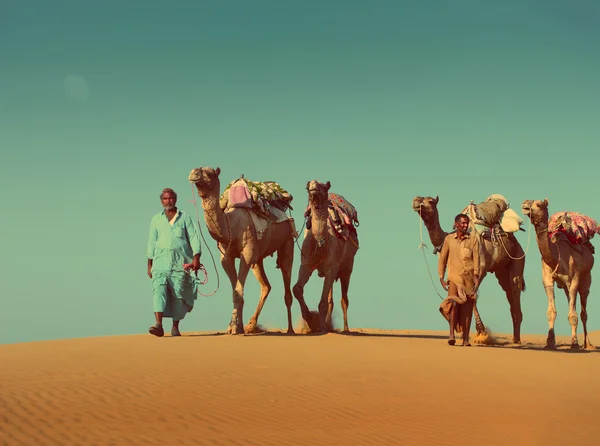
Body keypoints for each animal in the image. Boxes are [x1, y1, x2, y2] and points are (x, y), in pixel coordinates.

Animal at [189, 167, 296, 334]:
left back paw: (290, 330)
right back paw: (251, 325)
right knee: (266, 286)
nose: (194, 173)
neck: (231, 225)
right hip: (258, 258)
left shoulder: (247, 252)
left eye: (210, 173)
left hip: (287, 241)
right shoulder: (226, 258)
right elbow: (237, 291)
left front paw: (234, 327)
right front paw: (236, 327)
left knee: (287, 283)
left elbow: (238, 292)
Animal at [292, 179, 358, 332]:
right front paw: (309, 319)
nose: (312, 185)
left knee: (344, 299)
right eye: (307, 186)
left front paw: (321, 328)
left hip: (347, 267)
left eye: (323, 186)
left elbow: (322, 303)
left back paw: (345, 329)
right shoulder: (306, 264)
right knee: (331, 300)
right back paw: (329, 325)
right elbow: (297, 289)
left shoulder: (332, 267)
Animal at [410, 195, 528, 344]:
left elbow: (472, 297)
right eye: (420, 198)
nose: (416, 200)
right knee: (508, 291)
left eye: (430, 201)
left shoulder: (480, 269)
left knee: (514, 287)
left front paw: (482, 333)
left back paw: (517, 340)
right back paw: (515, 338)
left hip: (518, 257)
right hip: (502, 270)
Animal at [520, 199, 596, 348]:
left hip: (586, 278)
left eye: (539, 204)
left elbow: (573, 316)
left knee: (583, 311)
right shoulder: (547, 280)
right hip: (567, 287)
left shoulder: (574, 280)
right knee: (572, 303)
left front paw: (574, 343)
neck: (557, 255)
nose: (525, 204)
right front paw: (550, 342)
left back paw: (587, 344)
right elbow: (551, 312)